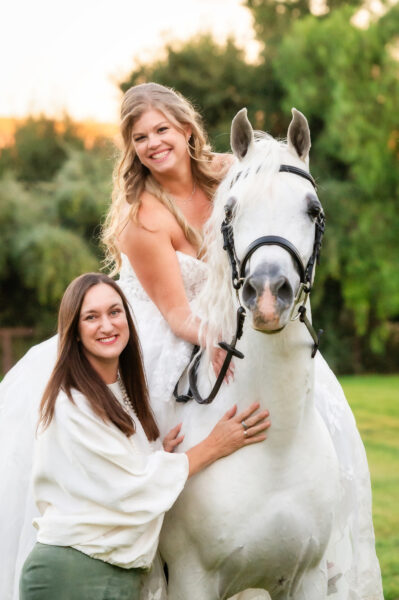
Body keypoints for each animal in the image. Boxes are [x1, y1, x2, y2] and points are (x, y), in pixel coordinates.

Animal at [160, 109, 344, 600]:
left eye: (313, 210)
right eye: (230, 211)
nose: (265, 294)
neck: (274, 448)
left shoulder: (306, 577)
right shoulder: (191, 581)